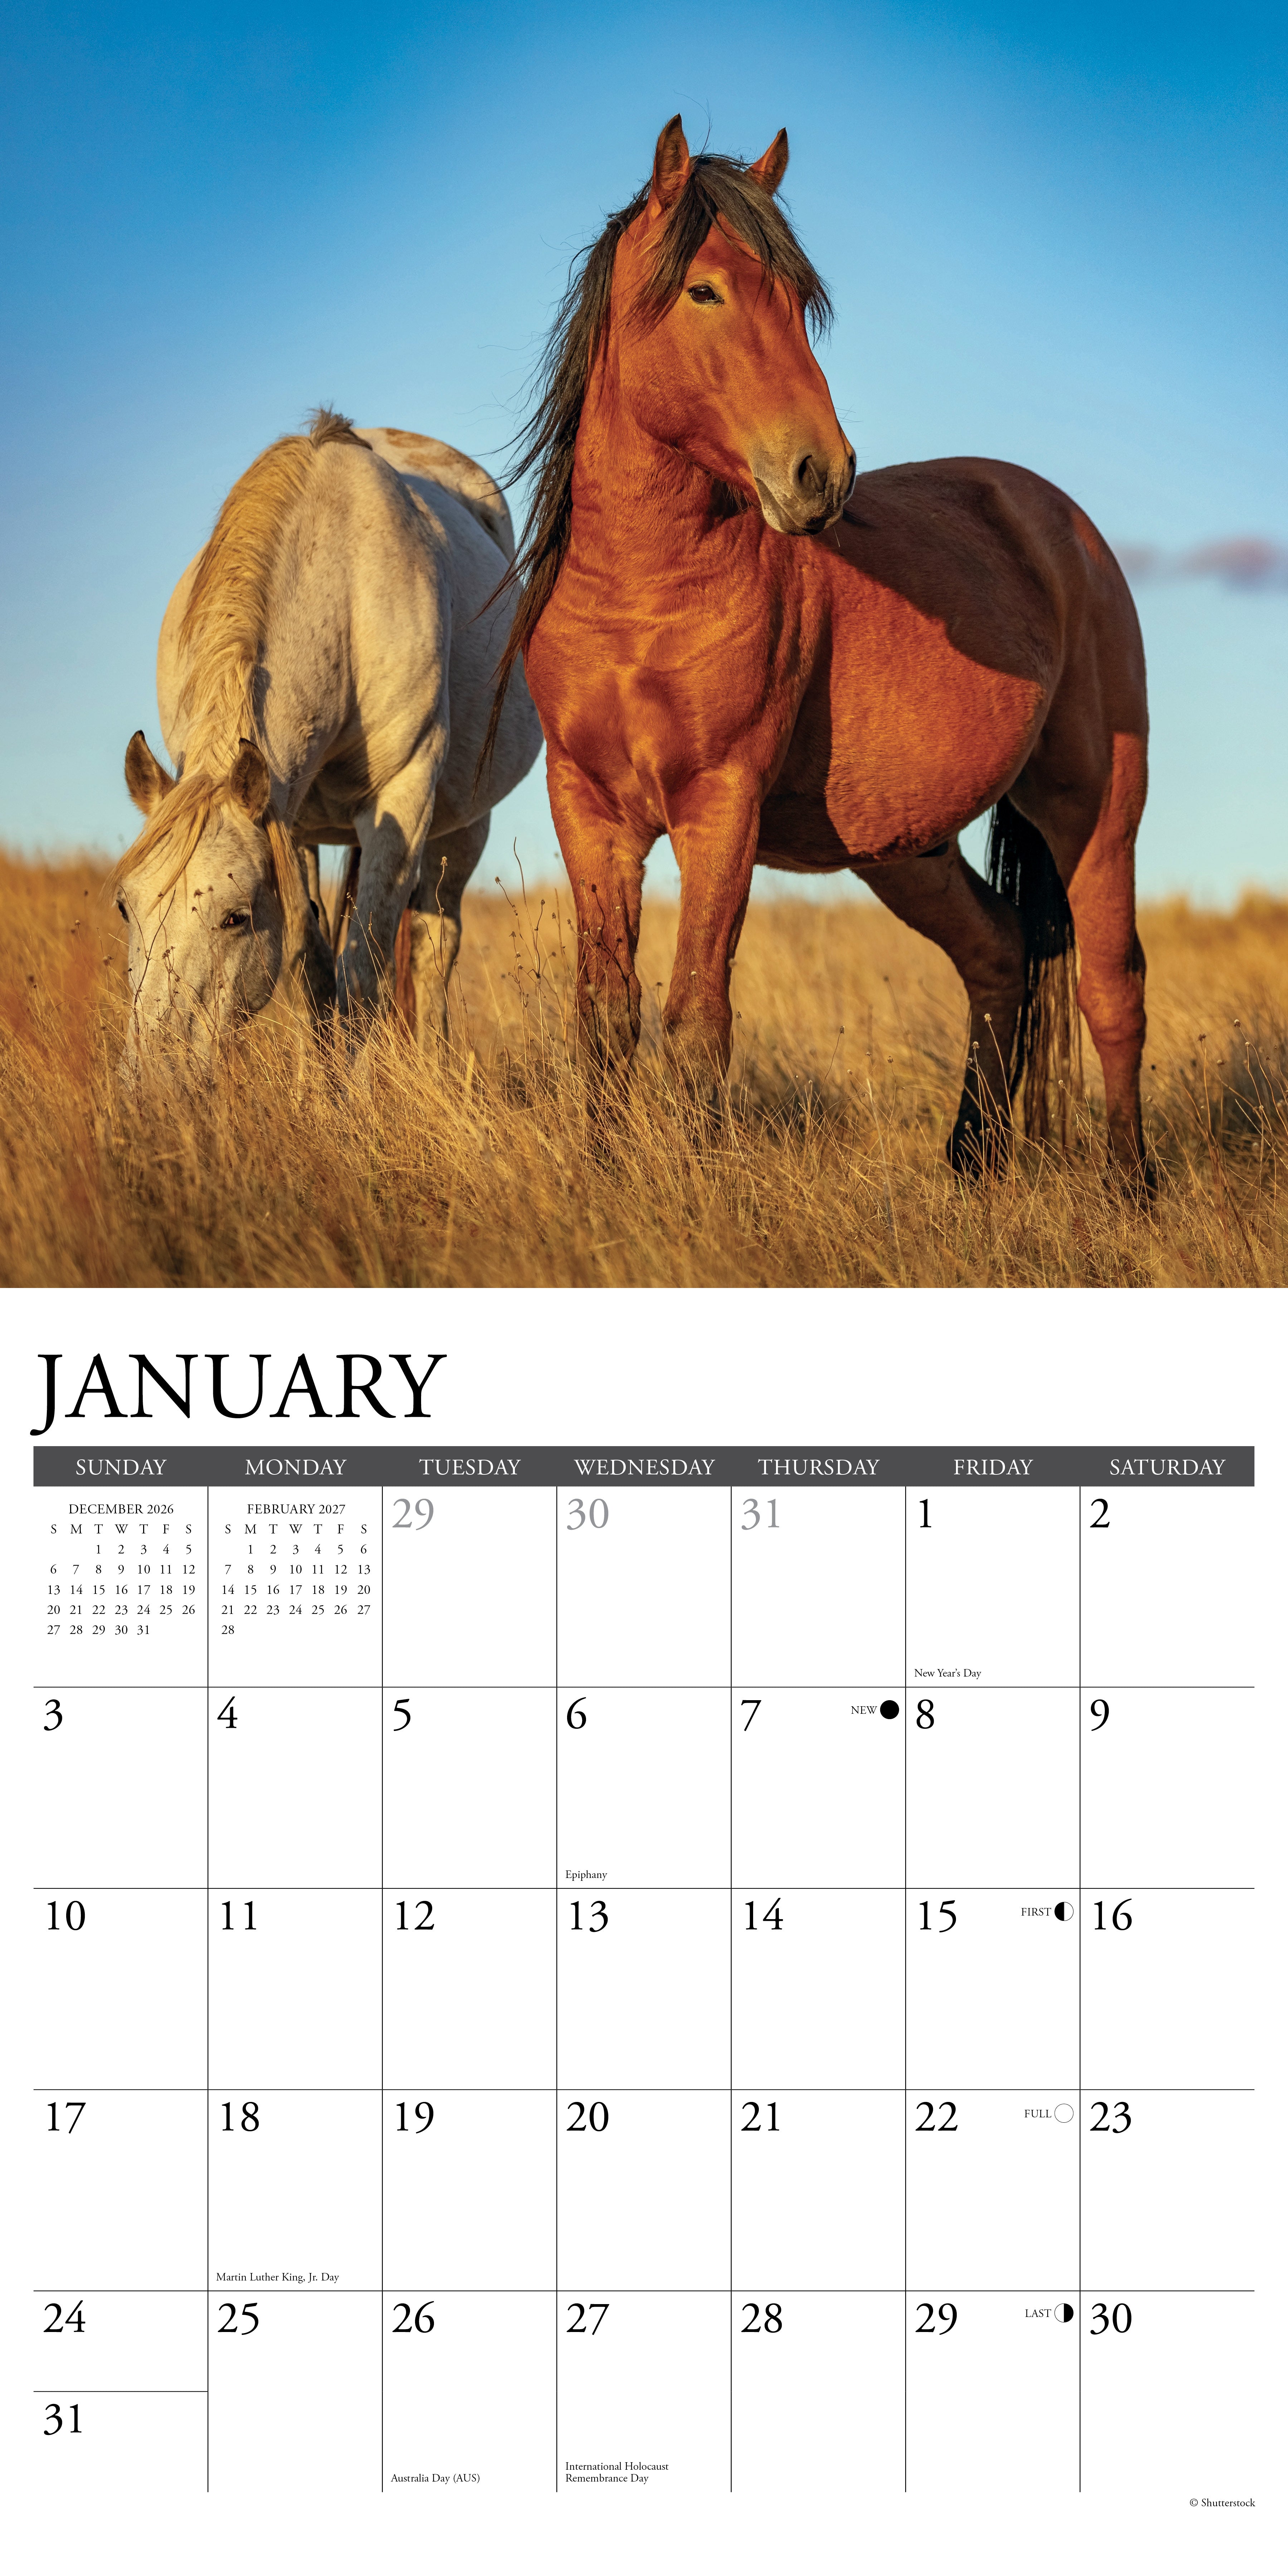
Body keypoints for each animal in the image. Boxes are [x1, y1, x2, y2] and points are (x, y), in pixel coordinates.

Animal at [117, 410, 541, 1066]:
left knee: (433, 946)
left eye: (235, 918)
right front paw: (321, 1085)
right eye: (125, 907)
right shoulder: (286, 823)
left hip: (461, 829)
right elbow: (310, 970)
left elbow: (363, 975)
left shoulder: (402, 800)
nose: (155, 1075)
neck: (343, 599)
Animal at [494, 117, 1150, 1178]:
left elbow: (697, 1019)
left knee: (1111, 985)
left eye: (800, 302)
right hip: (905, 847)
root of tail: (1065, 528)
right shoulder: (587, 806)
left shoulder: (723, 805)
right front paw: (603, 1172)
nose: (822, 474)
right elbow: (605, 1015)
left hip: (1094, 808)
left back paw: (1130, 1184)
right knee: (999, 950)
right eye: (704, 290)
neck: (641, 602)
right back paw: (967, 1165)